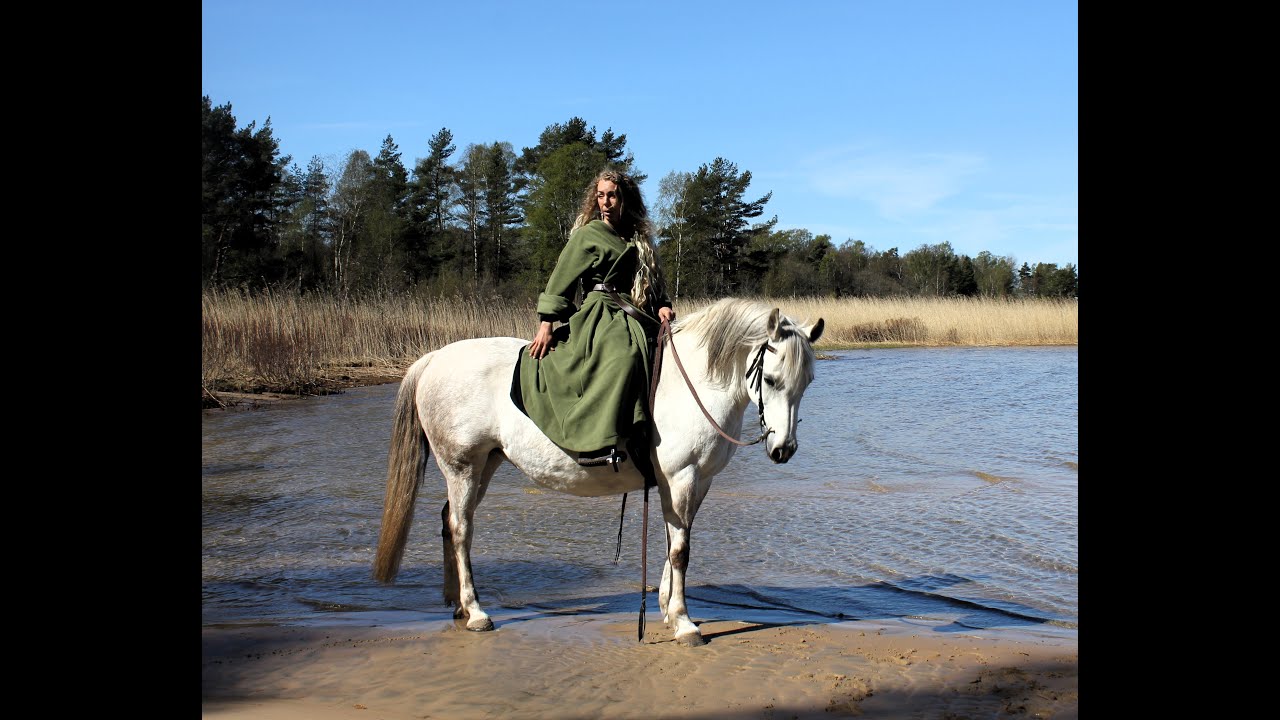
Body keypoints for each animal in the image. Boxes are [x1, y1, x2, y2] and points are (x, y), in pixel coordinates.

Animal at [373, 297, 824, 646]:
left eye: (807, 383)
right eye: (771, 379)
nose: (784, 450)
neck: (692, 383)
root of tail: (434, 359)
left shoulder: (694, 483)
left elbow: (674, 543)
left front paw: (666, 608)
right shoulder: (681, 478)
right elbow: (681, 550)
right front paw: (683, 622)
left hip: (484, 465)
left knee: (449, 521)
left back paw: (456, 605)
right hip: (462, 466)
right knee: (462, 529)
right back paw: (477, 611)